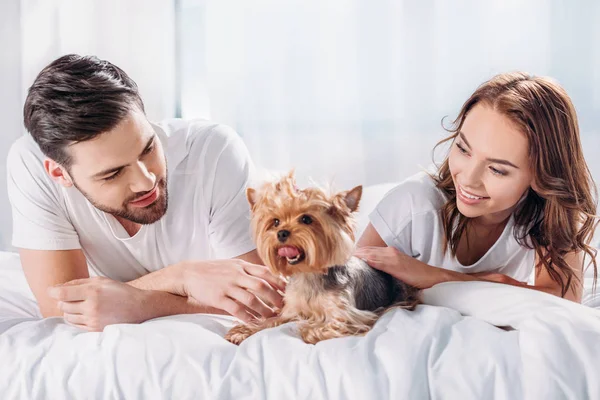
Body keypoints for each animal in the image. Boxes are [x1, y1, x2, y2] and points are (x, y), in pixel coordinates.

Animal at [225, 170, 418, 346]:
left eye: (306, 219)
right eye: (276, 222)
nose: (281, 233)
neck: (308, 273)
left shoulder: (348, 316)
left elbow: (313, 329)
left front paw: (306, 326)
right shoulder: (290, 309)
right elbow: (270, 320)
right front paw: (243, 331)